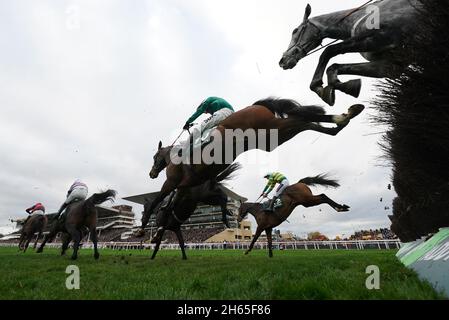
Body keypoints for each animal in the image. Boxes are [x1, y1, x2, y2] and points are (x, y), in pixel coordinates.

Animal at [278, 0, 422, 105]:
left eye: (295, 31)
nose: (283, 60)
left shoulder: (382, 37)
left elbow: (328, 51)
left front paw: (318, 86)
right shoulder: (389, 65)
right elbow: (334, 68)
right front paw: (348, 86)